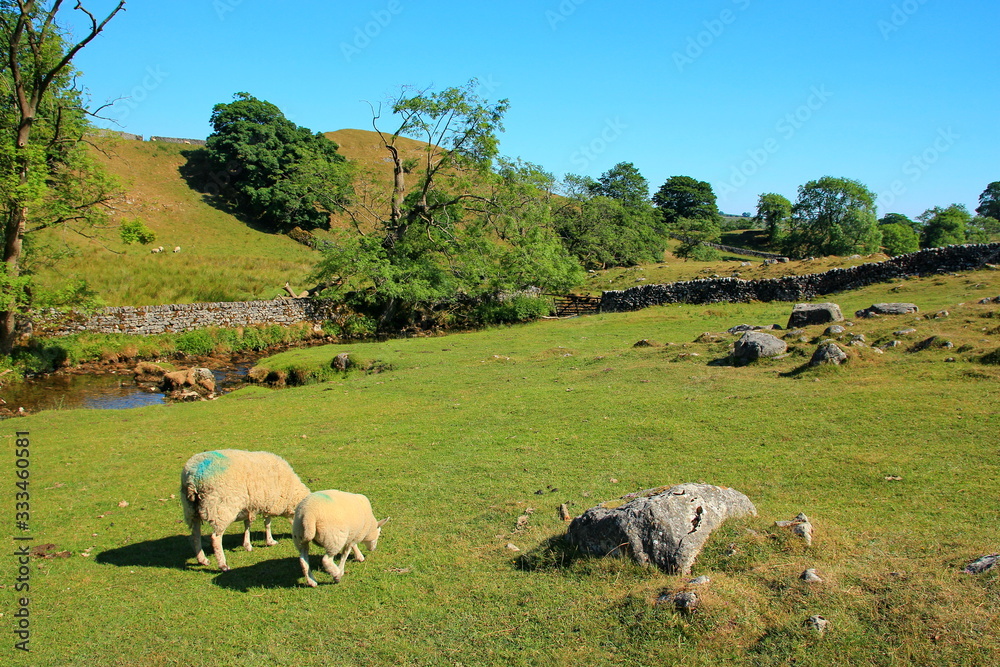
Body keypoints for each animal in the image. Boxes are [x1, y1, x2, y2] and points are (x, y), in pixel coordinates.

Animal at [180, 448, 310, 568]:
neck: (292, 494)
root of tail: (194, 476)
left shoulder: (251, 505)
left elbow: (248, 524)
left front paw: (247, 545)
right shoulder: (269, 502)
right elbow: (267, 523)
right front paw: (270, 541)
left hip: (191, 509)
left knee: (195, 535)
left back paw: (202, 559)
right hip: (221, 509)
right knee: (216, 538)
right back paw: (223, 564)